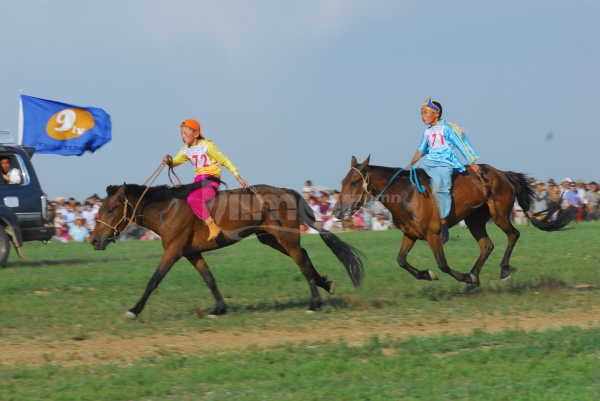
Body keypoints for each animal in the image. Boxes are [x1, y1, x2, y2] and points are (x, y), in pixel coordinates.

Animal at [88, 182, 360, 318]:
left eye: (110, 210)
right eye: (99, 209)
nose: (94, 240)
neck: (167, 209)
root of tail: (288, 192)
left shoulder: (174, 250)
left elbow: (154, 280)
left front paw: (134, 310)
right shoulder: (191, 252)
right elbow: (209, 278)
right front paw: (219, 308)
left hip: (285, 236)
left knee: (302, 261)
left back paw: (315, 303)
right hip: (269, 238)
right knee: (304, 257)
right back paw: (325, 284)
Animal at [338, 155, 576, 290]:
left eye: (354, 181)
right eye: (343, 181)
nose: (338, 210)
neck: (408, 194)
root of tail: (503, 174)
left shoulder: (433, 234)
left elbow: (442, 264)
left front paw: (463, 276)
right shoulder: (410, 234)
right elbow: (401, 260)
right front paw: (428, 274)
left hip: (499, 214)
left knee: (513, 235)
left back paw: (503, 271)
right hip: (474, 220)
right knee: (487, 245)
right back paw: (475, 278)